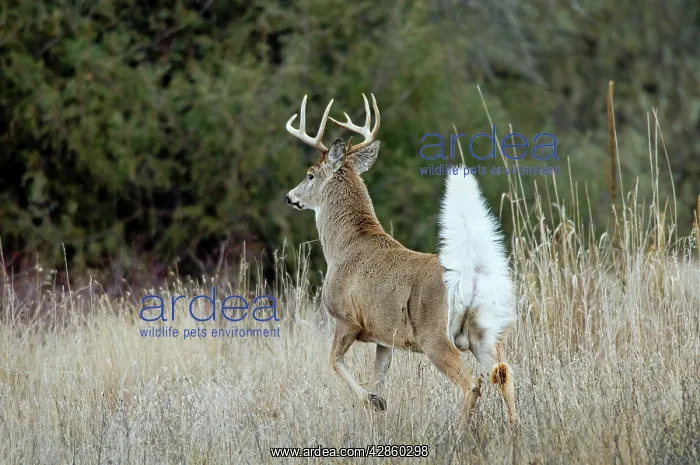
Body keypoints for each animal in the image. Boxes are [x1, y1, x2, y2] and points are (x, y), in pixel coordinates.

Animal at [284, 93, 517, 424]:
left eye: (310, 175)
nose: (290, 196)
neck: (344, 247)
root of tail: (469, 277)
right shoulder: (385, 336)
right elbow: (379, 377)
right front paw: (378, 404)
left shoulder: (346, 318)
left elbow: (334, 362)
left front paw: (372, 402)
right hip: (486, 332)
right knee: (504, 374)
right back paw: (515, 428)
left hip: (435, 335)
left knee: (472, 383)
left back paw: (461, 430)